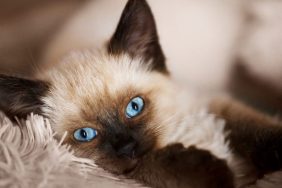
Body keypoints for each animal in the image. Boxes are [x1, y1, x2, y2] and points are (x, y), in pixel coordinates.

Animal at [0, 0, 282, 188]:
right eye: (85, 135)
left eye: (134, 107)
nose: (127, 146)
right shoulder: (123, 168)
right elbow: (148, 165)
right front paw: (213, 172)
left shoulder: (209, 101)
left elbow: (252, 127)